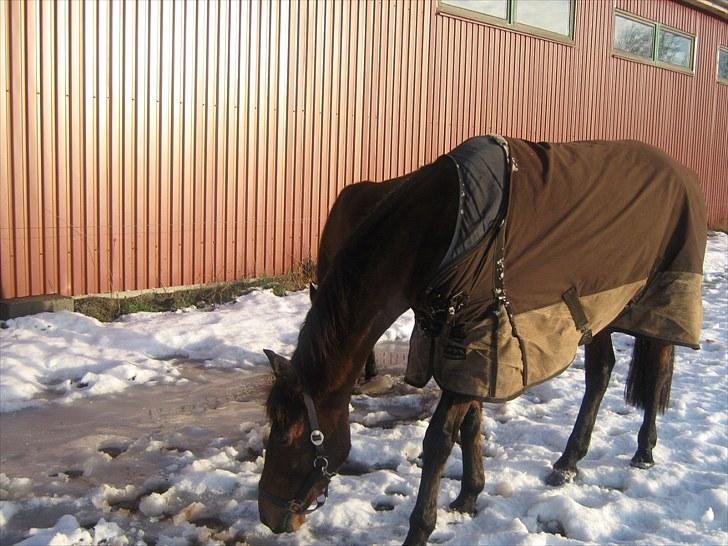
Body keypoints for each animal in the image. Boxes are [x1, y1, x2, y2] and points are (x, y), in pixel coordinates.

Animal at [258, 136, 706, 545]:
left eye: (283, 435)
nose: (268, 515)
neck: (439, 232)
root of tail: (682, 171)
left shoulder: (475, 339)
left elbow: (439, 440)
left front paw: (421, 528)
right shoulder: (467, 342)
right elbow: (471, 424)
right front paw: (469, 496)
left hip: (658, 295)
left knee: (657, 369)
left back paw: (644, 452)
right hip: (602, 306)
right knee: (600, 373)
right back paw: (568, 461)